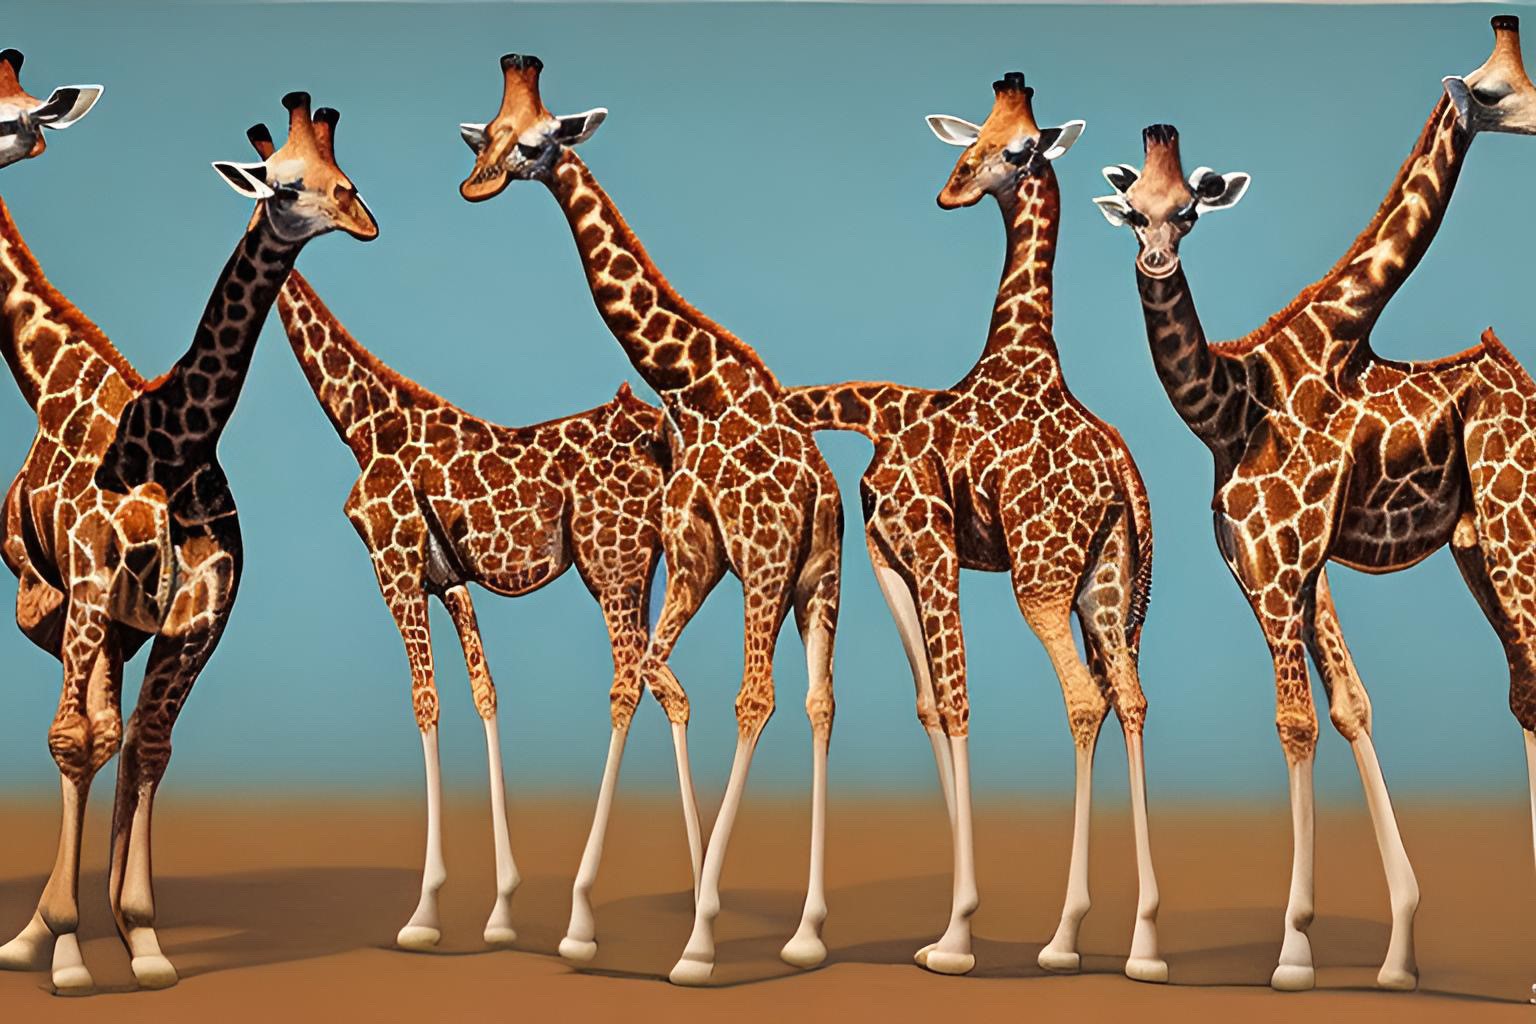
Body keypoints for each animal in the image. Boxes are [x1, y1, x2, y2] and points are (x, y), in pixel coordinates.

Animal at [0, 89, 377, 994]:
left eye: (340, 175)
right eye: (281, 183)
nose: (361, 215)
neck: (172, 441)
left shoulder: (202, 618)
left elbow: (149, 746)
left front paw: (137, 935)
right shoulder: (89, 594)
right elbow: (80, 740)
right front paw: (67, 947)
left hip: (121, 627)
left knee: (121, 732)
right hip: (68, 614)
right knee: (91, 730)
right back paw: (38, 935)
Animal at [273, 245, 686, 952]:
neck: (362, 421)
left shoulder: (393, 566)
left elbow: (426, 701)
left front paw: (423, 913)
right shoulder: (449, 581)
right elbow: (484, 692)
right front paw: (500, 908)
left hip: (611, 567)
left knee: (630, 685)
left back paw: (584, 917)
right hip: (640, 570)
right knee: (670, 688)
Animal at [459, 54, 844, 985]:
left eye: (538, 141)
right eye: (485, 136)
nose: (475, 184)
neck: (692, 388)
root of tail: (822, 493)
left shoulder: (725, 555)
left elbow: (684, 684)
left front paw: (687, 921)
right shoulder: (694, 558)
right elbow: (655, 673)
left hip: (778, 571)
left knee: (764, 696)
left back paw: (712, 941)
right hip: (816, 584)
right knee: (819, 702)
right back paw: (807, 933)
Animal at [784, 72, 1164, 981]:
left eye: (1020, 149)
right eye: (974, 138)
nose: (951, 187)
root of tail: (1124, 476)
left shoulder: (932, 547)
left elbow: (959, 702)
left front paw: (955, 937)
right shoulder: (890, 555)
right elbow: (930, 703)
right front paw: (951, 918)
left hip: (1042, 579)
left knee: (1084, 698)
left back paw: (1064, 938)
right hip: (1104, 581)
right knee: (1129, 695)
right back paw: (1141, 942)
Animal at [1093, 15, 1536, 994]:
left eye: (1189, 210)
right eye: (1135, 209)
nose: (1155, 258)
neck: (1228, 404)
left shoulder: (1281, 563)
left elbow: (1295, 722)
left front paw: (1294, 953)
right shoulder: (1289, 566)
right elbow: (1346, 708)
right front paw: (1395, 956)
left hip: (1518, 534)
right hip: (1479, 548)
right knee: (1526, 684)